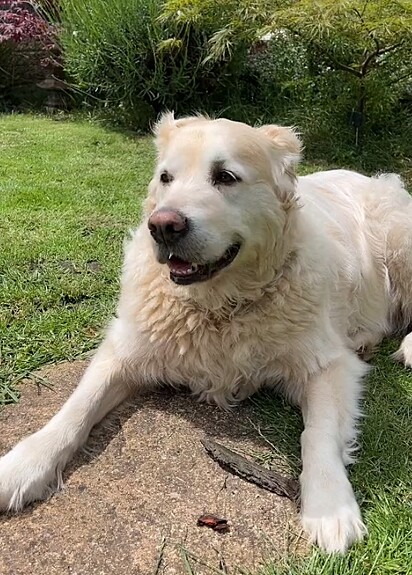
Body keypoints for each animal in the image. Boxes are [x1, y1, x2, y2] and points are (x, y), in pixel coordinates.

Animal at [0, 113, 412, 552]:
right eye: (166, 177)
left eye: (225, 176)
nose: (163, 226)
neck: (217, 306)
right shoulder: (125, 350)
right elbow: (77, 408)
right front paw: (23, 465)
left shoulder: (327, 364)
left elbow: (317, 433)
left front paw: (329, 507)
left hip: (400, 244)